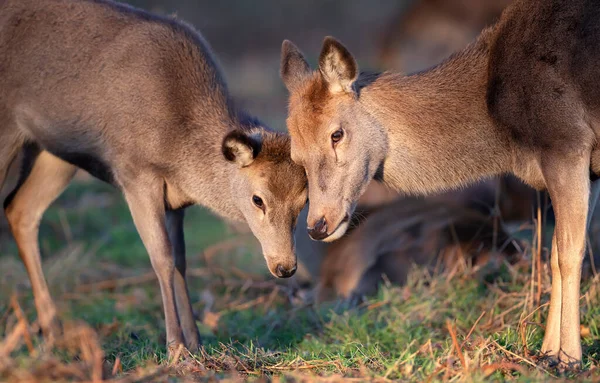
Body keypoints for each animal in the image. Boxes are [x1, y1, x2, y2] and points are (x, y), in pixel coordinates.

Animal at [1, 0, 310, 356]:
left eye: (304, 201)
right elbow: (161, 256)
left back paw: (52, 331)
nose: (285, 267)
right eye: (257, 199)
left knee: (19, 208)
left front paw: (197, 343)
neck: (177, 147)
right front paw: (175, 346)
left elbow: (180, 262)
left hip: (53, 151)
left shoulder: (176, 199)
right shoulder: (135, 174)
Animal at [282, 0, 600, 372]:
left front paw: (568, 358)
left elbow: (568, 254)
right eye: (296, 154)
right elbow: (557, 251)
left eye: (337, 134)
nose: (318, 224)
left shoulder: (566, 141)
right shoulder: (588, 166)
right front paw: (546, 352)